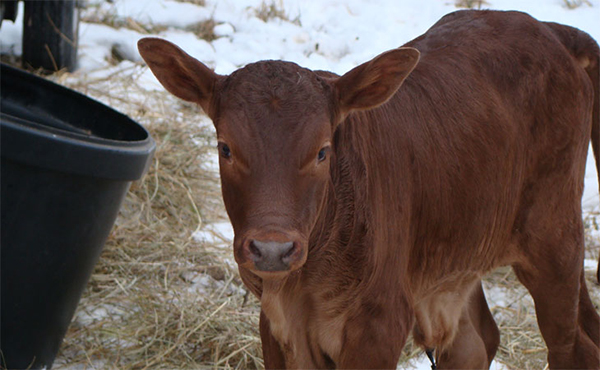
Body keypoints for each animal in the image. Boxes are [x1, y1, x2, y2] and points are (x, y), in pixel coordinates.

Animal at [137, 9, 600, 370]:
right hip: (457, 253)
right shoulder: (276, 324)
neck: (304, 282)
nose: (272, 249)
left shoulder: (381, 322)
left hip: (554, 238)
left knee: (573, 346)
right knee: (476, 342)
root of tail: (548, 29)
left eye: (322, 151)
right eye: (226, 148)